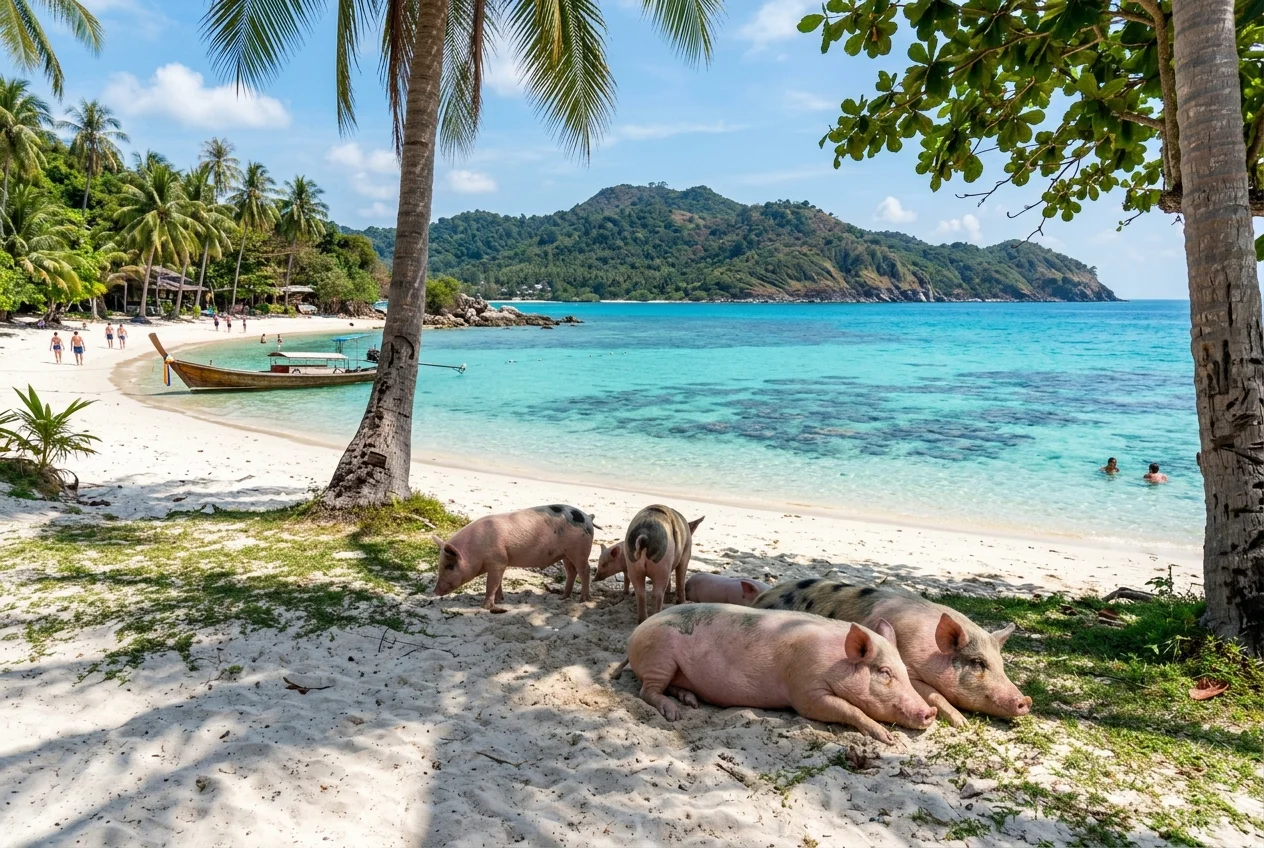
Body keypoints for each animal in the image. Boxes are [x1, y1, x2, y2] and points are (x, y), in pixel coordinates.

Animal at [430, 504, 595, 613]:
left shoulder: (498, 561)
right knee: (571, 572)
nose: (435, 591)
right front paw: (500, 600)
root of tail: (588, 517)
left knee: (585, 570)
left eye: (450, 566)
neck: (475, 550)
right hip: (566, 554)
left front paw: (489, 608)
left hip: (579, 551)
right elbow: (498, 584)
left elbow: (491, 584)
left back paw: (584, 599)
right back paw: (562, 598)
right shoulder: (499, 563)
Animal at [615, 604, 936, 743]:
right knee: (647, 690)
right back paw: (675, 714)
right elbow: (847, 709)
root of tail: (635, 634)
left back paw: (690, 702)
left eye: (904, 671)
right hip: (660, 656)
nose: (930, 712)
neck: (835, 661)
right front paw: (888, 738)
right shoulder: (806, 691)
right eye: (885, 672)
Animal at [752, 580, 1032, 726]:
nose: (1026, 701)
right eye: (978, 663)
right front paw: (962, 722)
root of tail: (762, 597)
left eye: (1002, 665)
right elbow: (935, 694)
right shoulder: (909, 668)